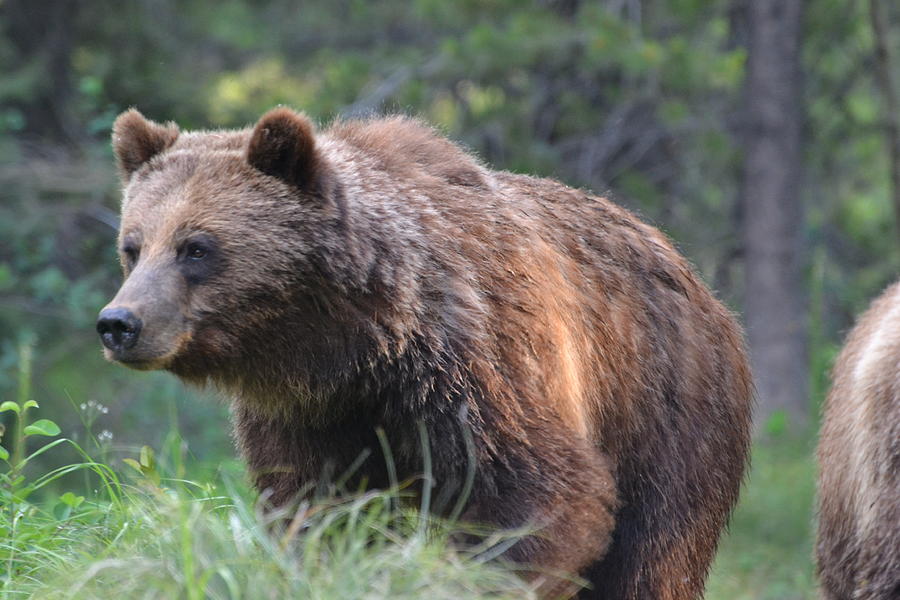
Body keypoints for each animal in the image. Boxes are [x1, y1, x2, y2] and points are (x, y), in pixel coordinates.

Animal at [98, 108, 756, 600]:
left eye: (196, 247)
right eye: (133, 246)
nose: (119, 324)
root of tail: (698, 281)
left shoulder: (480, 362)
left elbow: (541, 495)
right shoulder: (307, 414)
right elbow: (314, 511)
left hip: (666, 413)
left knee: (655, 554)